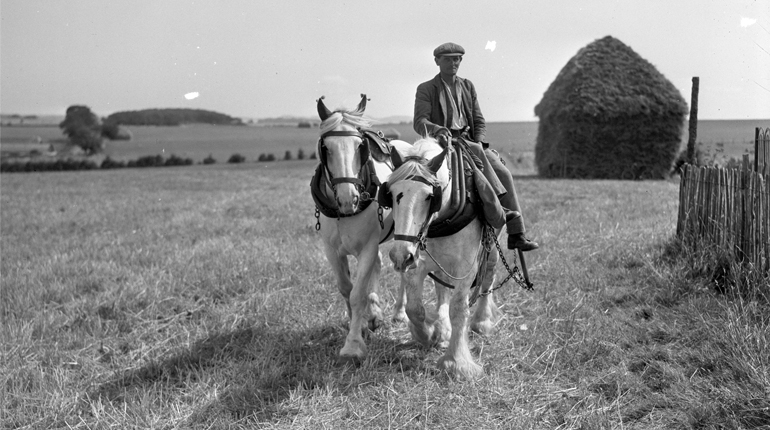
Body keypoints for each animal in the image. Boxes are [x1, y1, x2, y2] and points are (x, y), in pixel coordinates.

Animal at [310, 94, 412, 362]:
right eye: (326, 148)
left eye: (360, 146)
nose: (349, 198)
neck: (343, 213)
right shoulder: (331, 250)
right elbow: (347, 289)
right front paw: (364, 324)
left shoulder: (367, 246)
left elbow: (358, 294)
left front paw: (353, 345)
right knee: (377, 264)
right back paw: (375, 312)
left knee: (403, 270)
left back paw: (399, 312)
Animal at [380, 136, 500, 378]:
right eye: (392, 194)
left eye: (429, 196)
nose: (399, 256)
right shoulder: (416, 261)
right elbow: (414, 309)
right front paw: (427, 334)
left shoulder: (466, 268)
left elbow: (459, 309)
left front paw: (457, 362)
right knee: (442, 288)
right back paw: (442, 328)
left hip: (491, 251)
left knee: (487, 281)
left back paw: (482, 321)